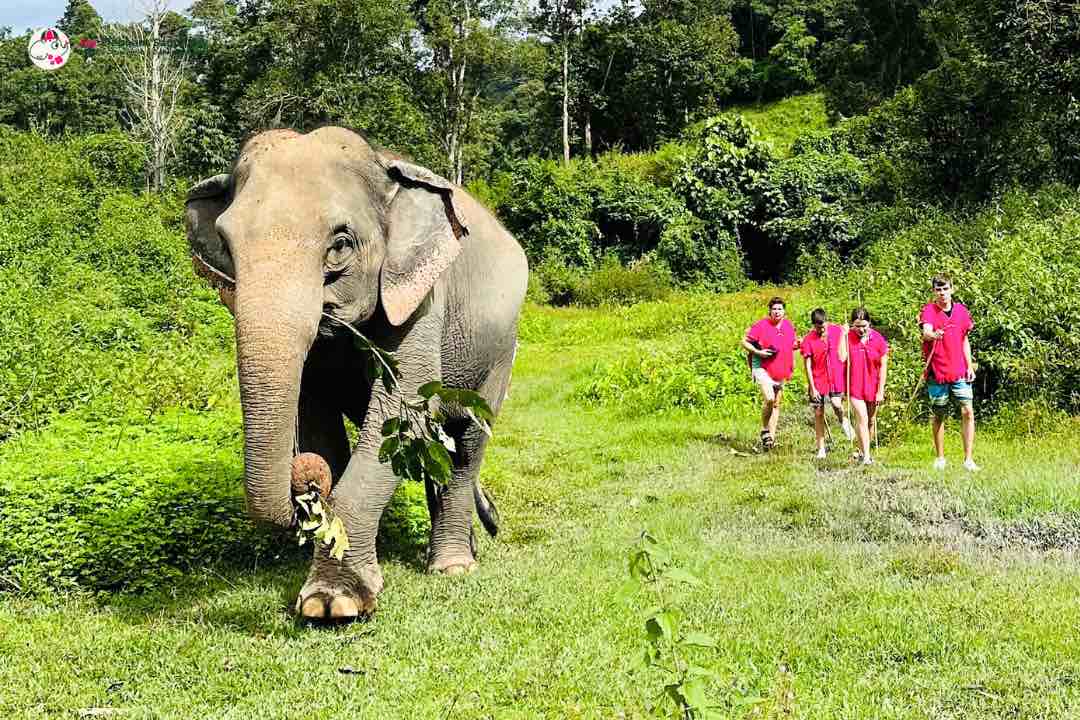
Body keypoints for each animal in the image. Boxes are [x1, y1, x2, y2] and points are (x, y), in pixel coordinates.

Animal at [184, 127, 528, 620]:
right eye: (226, 244)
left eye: (341, 244)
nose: (303, 479)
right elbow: (318, 425)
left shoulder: (423, 300)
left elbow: (399, 419)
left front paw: (333, 603)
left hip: (501, 353)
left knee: (465, 444)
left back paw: (453, 567)